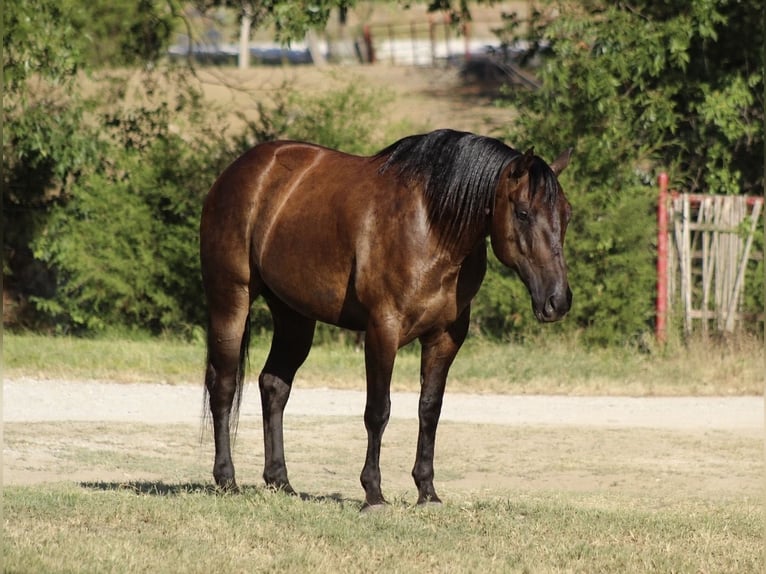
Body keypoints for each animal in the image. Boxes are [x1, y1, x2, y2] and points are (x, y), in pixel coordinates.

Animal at [200, 129, 572, 509]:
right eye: (523, 213)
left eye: (566, 214)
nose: (558, 301)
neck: (433, 226)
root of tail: (237, 171)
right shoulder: (383, 329)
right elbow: (378, 410)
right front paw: (374, 494)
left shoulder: (446, 336)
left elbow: (430, 409)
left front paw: (427, 492)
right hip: (231, 299)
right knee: (224, 385)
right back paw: (226, 479)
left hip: (295, 316)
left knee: (274, 385)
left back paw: (281, 482)